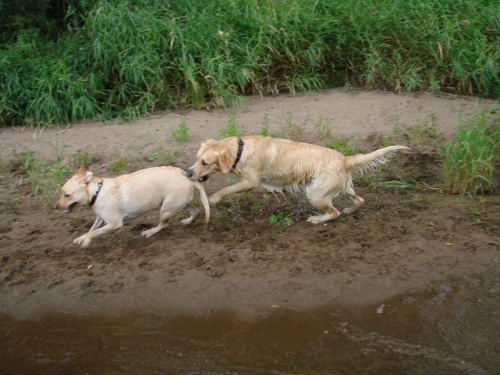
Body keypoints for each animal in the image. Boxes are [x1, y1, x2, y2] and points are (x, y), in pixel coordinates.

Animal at [56, 166, 209, 248]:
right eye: (61, 192)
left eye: (67, 195)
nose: (55, 206)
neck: (98, 191)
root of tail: (189, 179)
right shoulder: (100, 218)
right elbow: (91, 229)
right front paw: (81, 238)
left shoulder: (114, 224)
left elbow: (93, 233)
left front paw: (86, 241)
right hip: (181, 203)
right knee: (195, 211)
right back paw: (188, 221)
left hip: (165, 209)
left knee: (164, 224)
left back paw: (150, 232)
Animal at [186, 137, 408, 225]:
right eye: (196, 158)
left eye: (205, 162)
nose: (188, 173)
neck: (240, 149)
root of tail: (345, 159)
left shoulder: (250, 181)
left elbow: (227, 189)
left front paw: (214, 199)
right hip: (343, 188)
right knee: (359, 201)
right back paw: (349, 209)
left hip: (315, 193)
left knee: (334, 212)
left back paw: (317, 219)